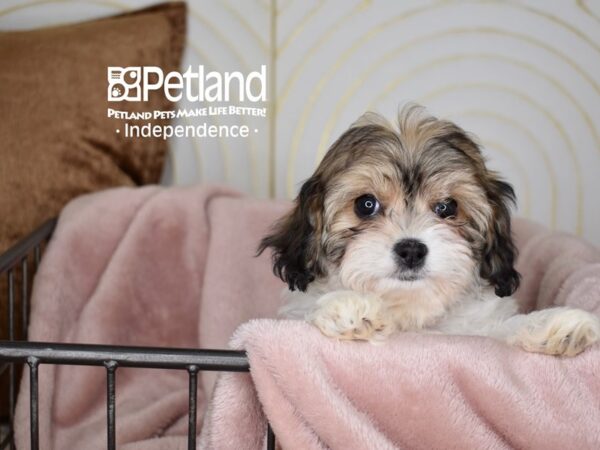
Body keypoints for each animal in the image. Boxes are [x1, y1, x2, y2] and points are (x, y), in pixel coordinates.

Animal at [258, 104, 600, 356]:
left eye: (447, 207)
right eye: (366, 204)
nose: (411, 249)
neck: (411, 315)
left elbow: (501, 332)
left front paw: (557, 325)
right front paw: (350, 305)